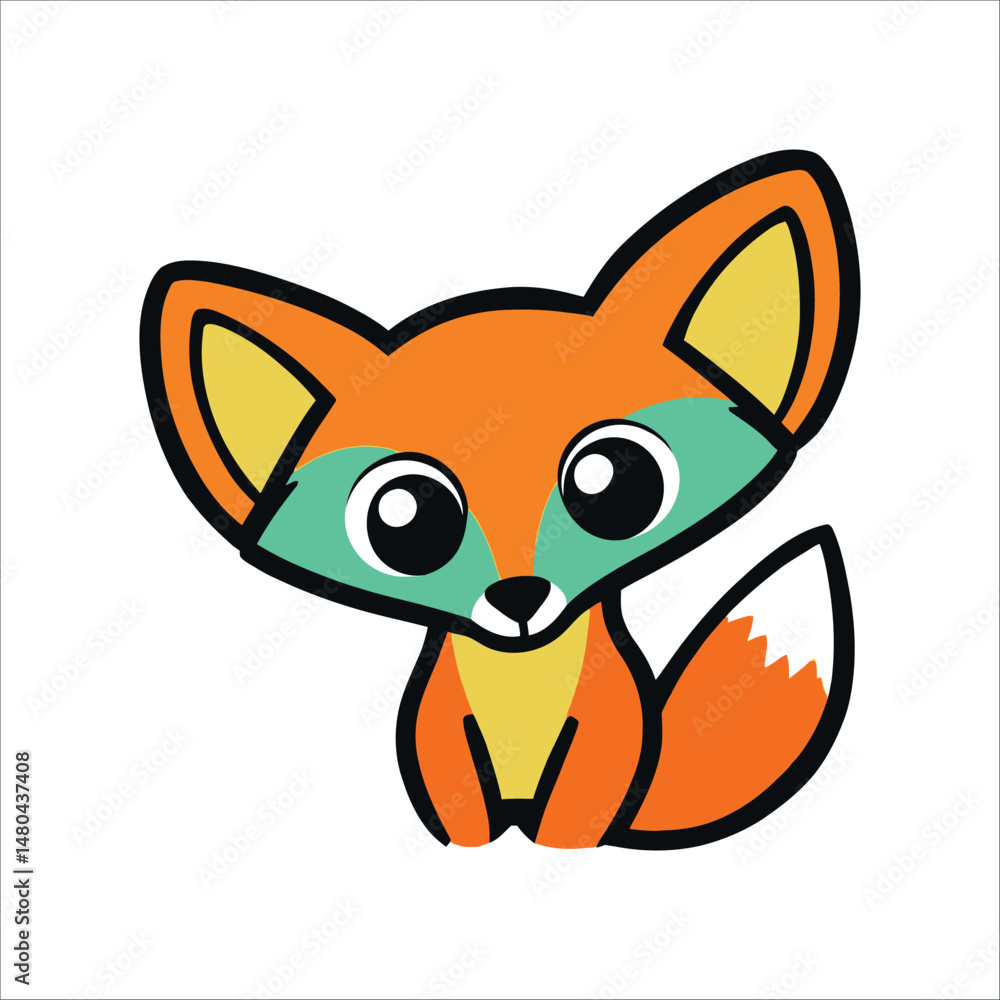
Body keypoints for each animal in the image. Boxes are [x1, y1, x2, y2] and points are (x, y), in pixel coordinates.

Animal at [140, 150, 860, 850]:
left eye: (617, 485)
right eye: (406, 519)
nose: (520, 598)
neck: (519, 677)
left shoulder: (604, 732)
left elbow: (572, 809)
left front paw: (557, 849)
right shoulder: (440, 729)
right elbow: (460, 806)